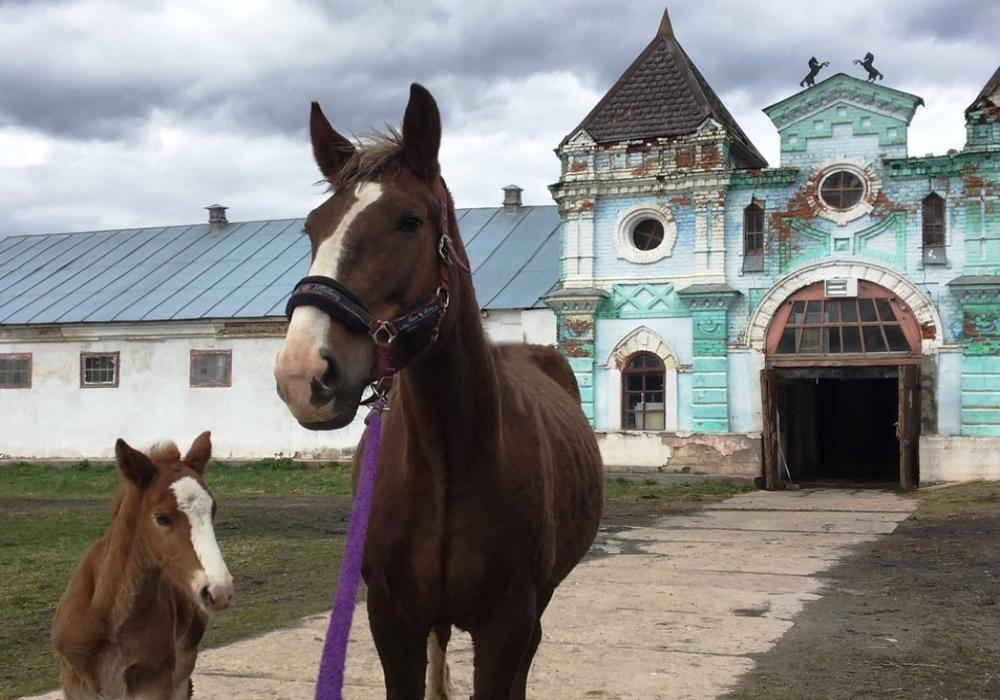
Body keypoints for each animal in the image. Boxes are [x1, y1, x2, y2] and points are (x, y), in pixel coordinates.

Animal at [51, 432, 233, 700]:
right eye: (162, 518)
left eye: (213, 511)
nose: (219, 591)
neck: (109, 616)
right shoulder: (75, 682)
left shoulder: (155, 680)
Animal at [272, 85, 600, 696]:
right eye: (312, 228)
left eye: (410, 221)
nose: (302, 375)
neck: (450, 461)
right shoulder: (391, 619)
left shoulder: (508, 625)